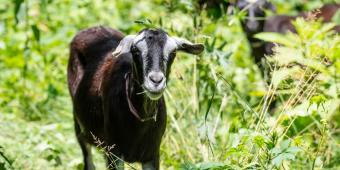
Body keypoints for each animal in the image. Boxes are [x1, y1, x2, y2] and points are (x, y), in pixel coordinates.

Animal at [67, 25, 203, 169]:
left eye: (173, 53)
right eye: (135, 51)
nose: (156, 81)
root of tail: (92, 28)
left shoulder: (152, 153)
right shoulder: (113, 153)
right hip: (79, 125)